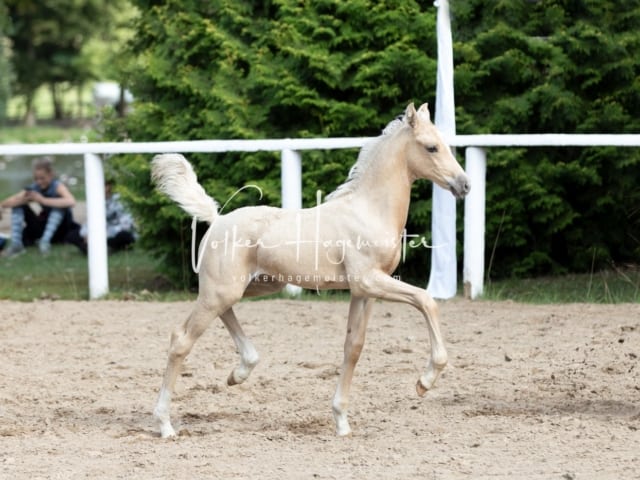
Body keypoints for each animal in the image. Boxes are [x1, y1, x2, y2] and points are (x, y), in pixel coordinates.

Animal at [151, 103, 470, 436]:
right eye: (431, 147)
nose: (464, 185)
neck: (368, 210)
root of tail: (218, 219)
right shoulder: (370, 281)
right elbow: (426, 300)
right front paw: (425, 381)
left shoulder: (363, 292)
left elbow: (353, 347)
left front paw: (341, 421)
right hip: (222, 291)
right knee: (181, 339)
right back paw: (165, 424)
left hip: (251, 286)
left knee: (224, 315)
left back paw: (239, 372)